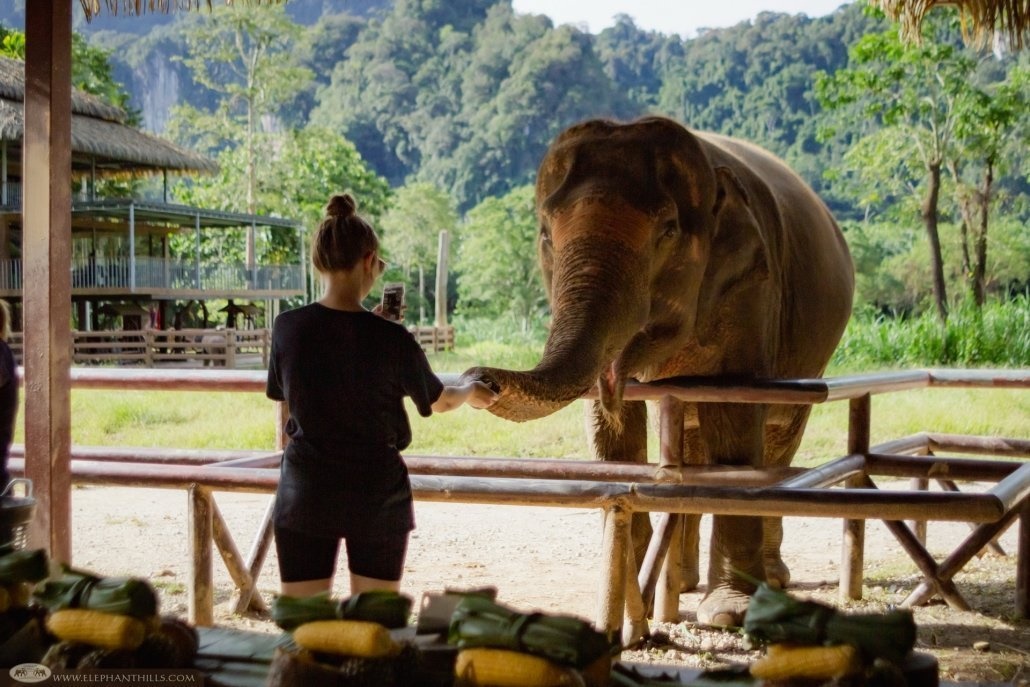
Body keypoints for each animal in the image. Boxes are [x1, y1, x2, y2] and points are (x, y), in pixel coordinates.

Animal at [461, 116, 854, 627]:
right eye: (546, 233)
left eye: (667, 231)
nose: (478, 380)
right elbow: (615, 435)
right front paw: (638, 604)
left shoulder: (751, 290)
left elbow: (735, 417)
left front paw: (725, 613)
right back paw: (683, 582)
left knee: (778, 445)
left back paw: (770, 582)